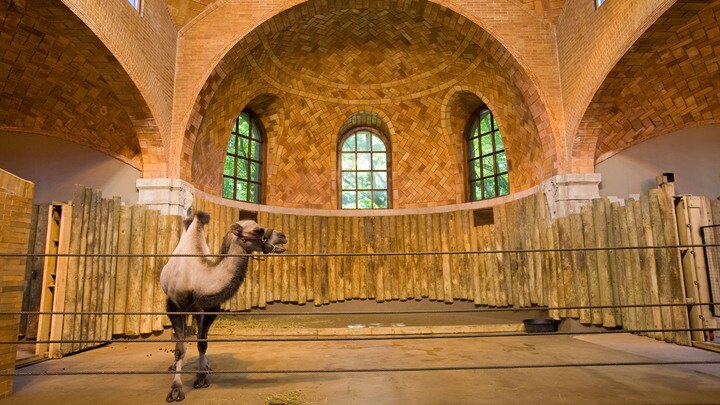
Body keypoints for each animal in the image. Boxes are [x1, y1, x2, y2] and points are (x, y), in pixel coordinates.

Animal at [160, 211, 286, 400]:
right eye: (258, 230)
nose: (282, 236)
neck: (197, 278)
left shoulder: (211, 308)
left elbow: (202, 343)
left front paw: (202, 378)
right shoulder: (173, 305)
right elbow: (181, 348)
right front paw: (176, 389)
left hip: (197, 310)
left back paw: (205, 366)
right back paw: (175, 366)